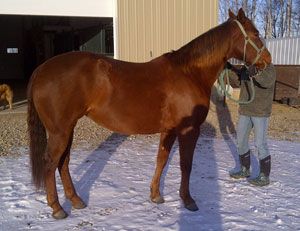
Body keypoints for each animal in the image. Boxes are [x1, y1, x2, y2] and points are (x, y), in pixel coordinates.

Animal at [27, 8, 272, 218]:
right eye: (256, 33)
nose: (268, 60)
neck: (189, 73)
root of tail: (41, 69)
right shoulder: (189, 130)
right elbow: (186, 164)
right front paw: (188, 200)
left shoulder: (169, 129)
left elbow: (161, 160)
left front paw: (155, 195)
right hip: (60, 131)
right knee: (50, 162)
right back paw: (58, 208)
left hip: (68, 128)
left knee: (63, 162)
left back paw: (76, 200)